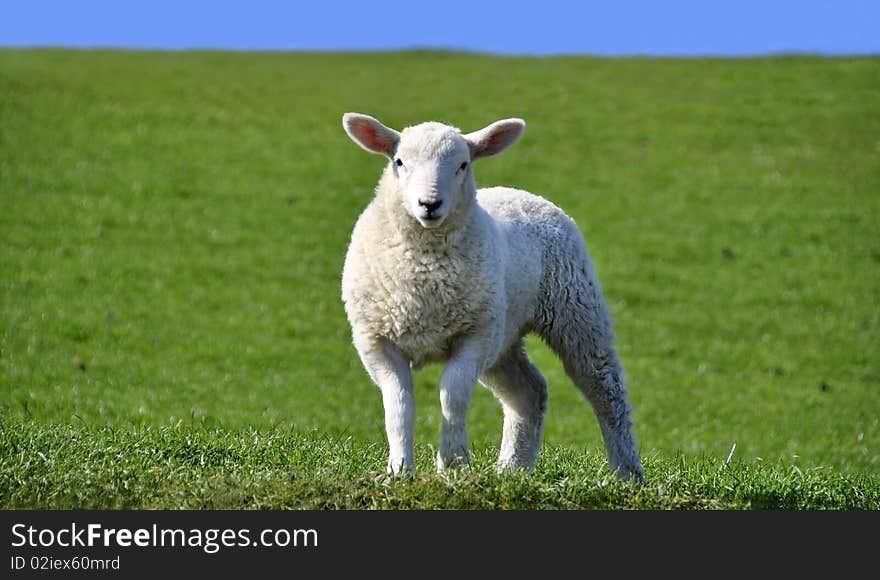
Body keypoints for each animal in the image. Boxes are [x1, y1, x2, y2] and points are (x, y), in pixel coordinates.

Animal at [340, 112, 644, 480]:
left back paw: (626, 472)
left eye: (462, 165)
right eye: (399, 162)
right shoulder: (377, 342)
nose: (430, 204)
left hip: (575, 310)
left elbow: (452, 395)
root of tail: (519, 192)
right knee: (529, 392)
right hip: (504, 335)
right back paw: (513, 468)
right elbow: (398, 405)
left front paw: (453, 462)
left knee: (606, 389)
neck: (424, 270)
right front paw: (399, 470)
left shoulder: (474, 337)